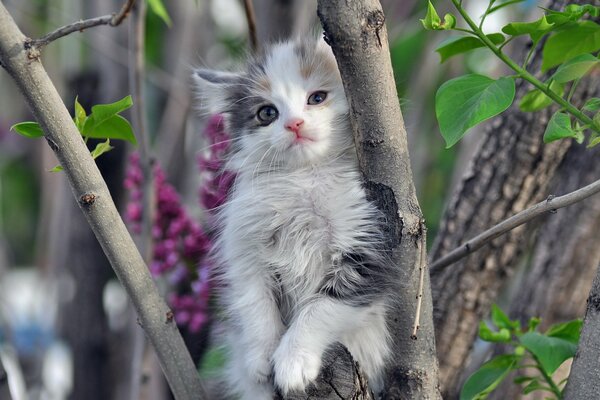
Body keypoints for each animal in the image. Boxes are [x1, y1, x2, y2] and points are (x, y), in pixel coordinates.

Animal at [195, 38, 396, 400]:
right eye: (267, 113)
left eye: (317, 98)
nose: (295, 124)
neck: (305, 178)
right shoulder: (246, 252)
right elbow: (256, 304)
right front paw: (261, 357)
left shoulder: (366, 244)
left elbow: (320, 308)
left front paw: (292, 361)